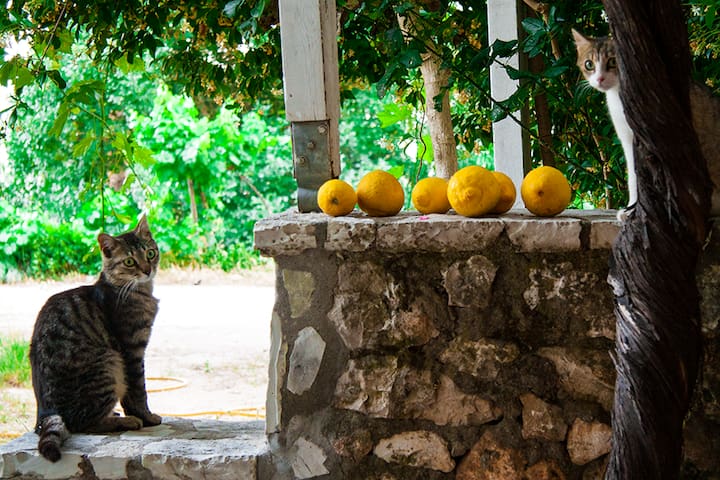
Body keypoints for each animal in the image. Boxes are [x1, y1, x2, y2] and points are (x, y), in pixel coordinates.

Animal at [29, 215, 162, 462]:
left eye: (150, 253)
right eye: (129, 262)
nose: (148, 270)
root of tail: (44, 413)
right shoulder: (132, 350)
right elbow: (138, 390)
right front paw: (146, 417)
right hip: (108, 362)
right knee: (83, 424)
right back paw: (125, 421)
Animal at [572, 28, 720, 219]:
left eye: (612, 61)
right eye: (589, 64)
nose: (599, 79)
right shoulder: (627, 140)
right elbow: (633, 178)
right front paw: (631, 207)